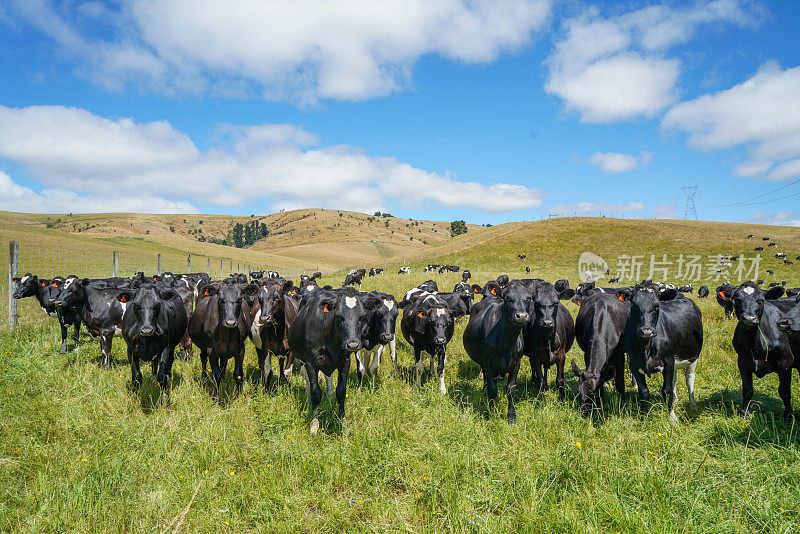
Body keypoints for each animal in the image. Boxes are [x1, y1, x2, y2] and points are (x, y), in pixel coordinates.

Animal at [290, 288, 374, 436]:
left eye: (361, 317)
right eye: (339, 317)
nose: (352, 344)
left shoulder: (345, 362)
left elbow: (341, 391)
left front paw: (343, 421)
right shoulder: (311, 363)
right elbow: (315, 392)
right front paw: (314, 424)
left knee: (328, 378)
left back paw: (329, 399)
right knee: (307, 379)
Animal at [462, 280, 532, 422]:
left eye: (528, 298)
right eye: (508, 298)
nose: (521, 316)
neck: (506, 343)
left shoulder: (516, 362)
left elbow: (511, 389)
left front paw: (511, 416)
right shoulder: (488, 362)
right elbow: (493, 388)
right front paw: (492, 414)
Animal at [620, 284, 704, 428]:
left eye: (657, 306)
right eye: (634, 306)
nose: (646, 330)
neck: (646, 347)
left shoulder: (668, 362)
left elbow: (666, 389)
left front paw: (672, 418)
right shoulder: (634, 365)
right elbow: (644, 392)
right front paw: (644, 418)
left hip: (693, 357)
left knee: (689, 380)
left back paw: (692, 404)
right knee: (675, 379)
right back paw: (675, 399)